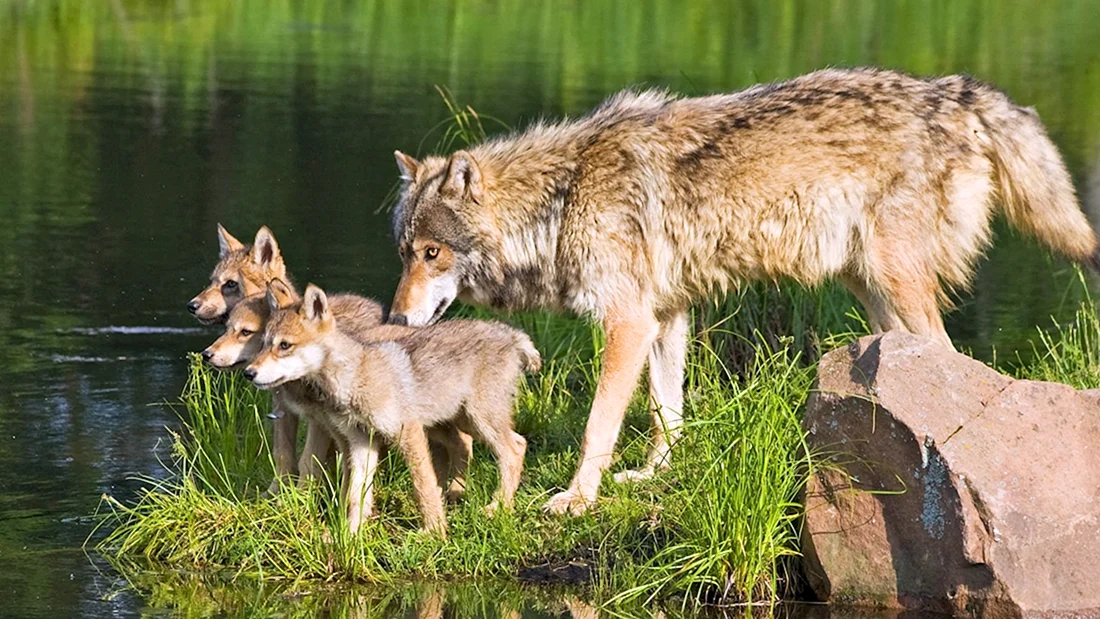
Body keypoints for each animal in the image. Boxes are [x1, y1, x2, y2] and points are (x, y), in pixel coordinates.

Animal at [245, 281, 540, 536]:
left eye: (284, 345)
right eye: (264, 343)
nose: (249, 373)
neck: (355, 378)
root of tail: (508, 333)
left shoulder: (409, 434)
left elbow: (422, 486)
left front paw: (433, 532)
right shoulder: (361, 443)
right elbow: (356, 495)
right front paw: (350, 534)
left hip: (480, 420)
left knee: (515, 449)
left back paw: (497, 507)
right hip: (459, 421)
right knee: (481, 446)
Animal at [387, 67, 1100, 515]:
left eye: (432, 253)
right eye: (403, 253)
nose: (393, 318)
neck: (561, 197)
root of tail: (951, 91)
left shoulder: (626, 322)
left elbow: (598, 425)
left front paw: (577, 499)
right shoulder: (664, 317)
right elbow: (667, 409)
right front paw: (656, 473)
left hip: (895, 282)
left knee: (948, 354)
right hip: (871, 292)